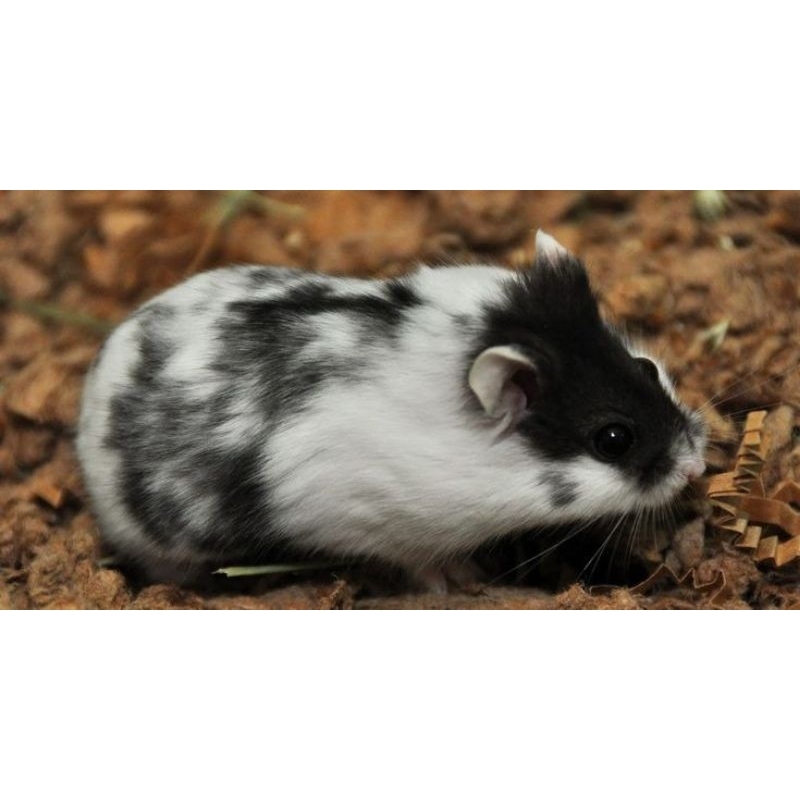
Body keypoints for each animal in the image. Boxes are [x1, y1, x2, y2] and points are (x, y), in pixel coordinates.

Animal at [76, 231, 707, 588]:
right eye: (613, 439)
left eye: (647, 368)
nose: (696, 467)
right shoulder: (391, 527)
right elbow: (426, 565)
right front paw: (466, 582)